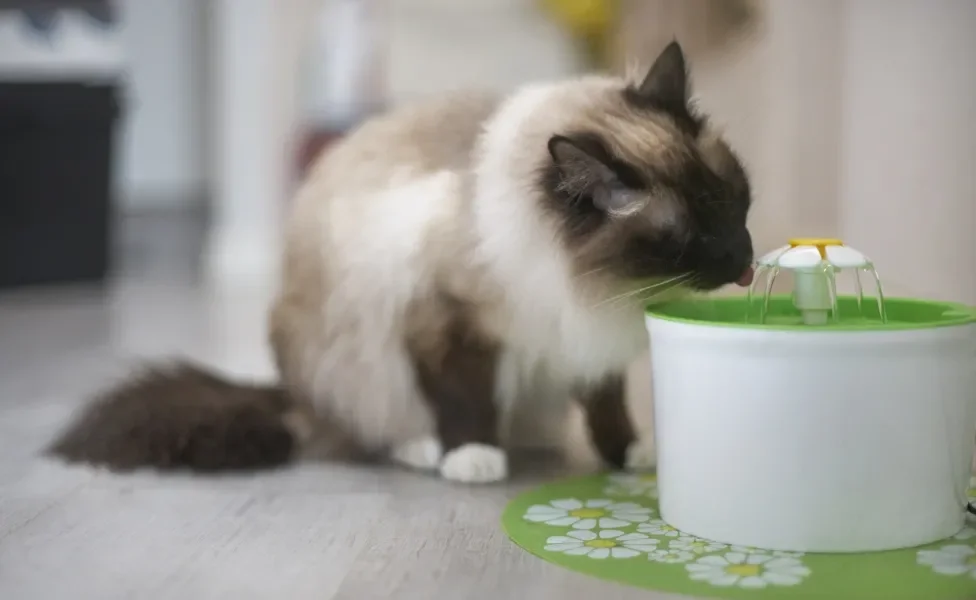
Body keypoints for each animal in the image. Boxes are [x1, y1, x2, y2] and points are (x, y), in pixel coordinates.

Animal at [47, 41, 756, 482]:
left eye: (734, 202)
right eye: (685, 236)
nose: (744, 261)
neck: (595, 283)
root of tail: (288, 397)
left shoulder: (588, 340)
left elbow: (608, 406)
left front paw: (629, 453)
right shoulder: (447, 324)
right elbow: (464, 400)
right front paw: (472, 458)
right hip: (349, 359)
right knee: (367, 427)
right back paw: (426, 451)